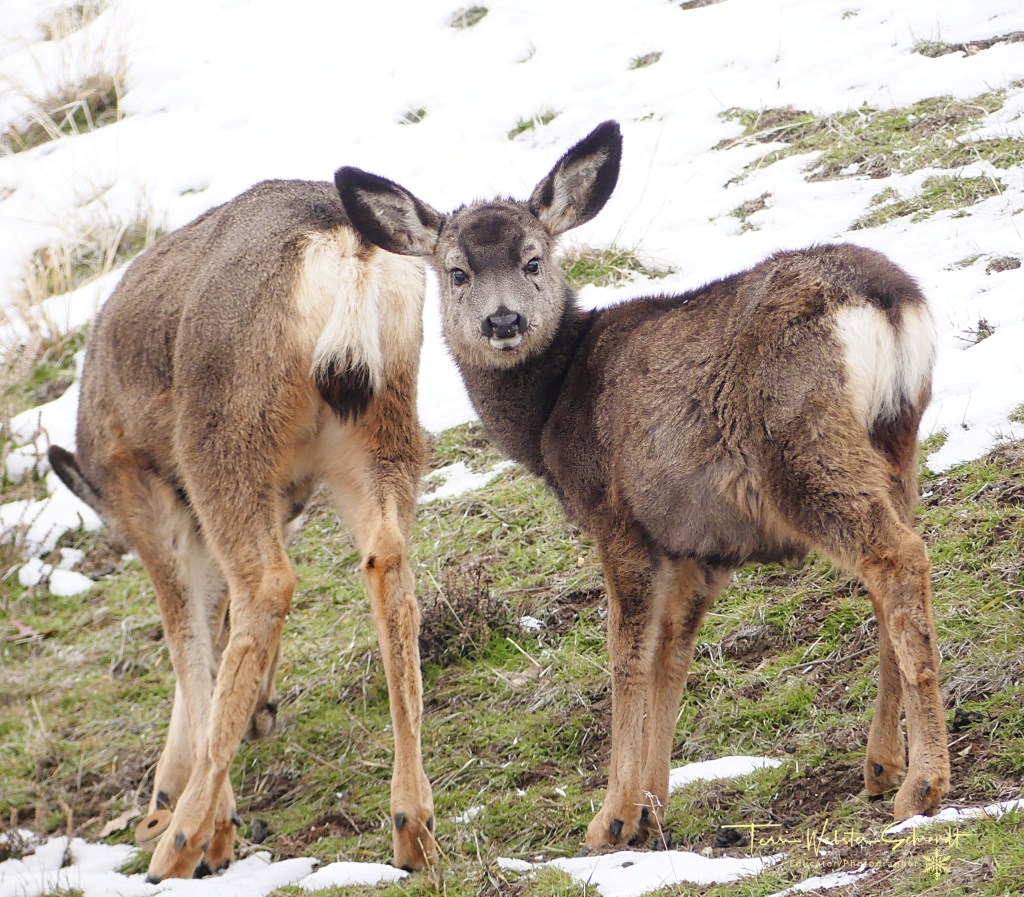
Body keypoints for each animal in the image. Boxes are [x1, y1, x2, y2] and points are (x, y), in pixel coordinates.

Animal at [47, 177, 436, 881]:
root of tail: (348, 242)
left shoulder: (145, 496)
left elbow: (188, 636)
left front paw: (181, 813)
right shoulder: (281, 502)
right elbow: (211, 626)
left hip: (222, 437)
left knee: (267, 587)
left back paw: (185, 842)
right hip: (381, 428)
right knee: (389, 566)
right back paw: (412, 825)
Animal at [336, 121, 951, 850]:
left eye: (533, 259)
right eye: (457, 271)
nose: (503, 321)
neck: (552, 409)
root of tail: (888, 303)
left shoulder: (619, 516)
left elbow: (626, 656)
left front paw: (612, 816)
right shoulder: (696, 540)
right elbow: (670, 655)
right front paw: (653, 802)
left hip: (801, 447)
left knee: (896, 557)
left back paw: (923, 783)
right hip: (896, 440)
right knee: (897, 569)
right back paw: (882, 765)